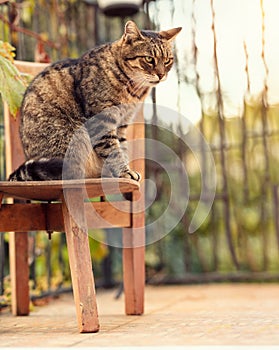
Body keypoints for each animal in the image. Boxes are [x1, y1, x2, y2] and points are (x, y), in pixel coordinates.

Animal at [8, 20, 182, 182]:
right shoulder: (102, 120)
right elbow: (113, 150)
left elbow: (122, 147)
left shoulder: (123, 123)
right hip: (75, 139)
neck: (134, 90)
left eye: (168, 60)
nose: (161, 75)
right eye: (149, 59)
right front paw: (124, 172)